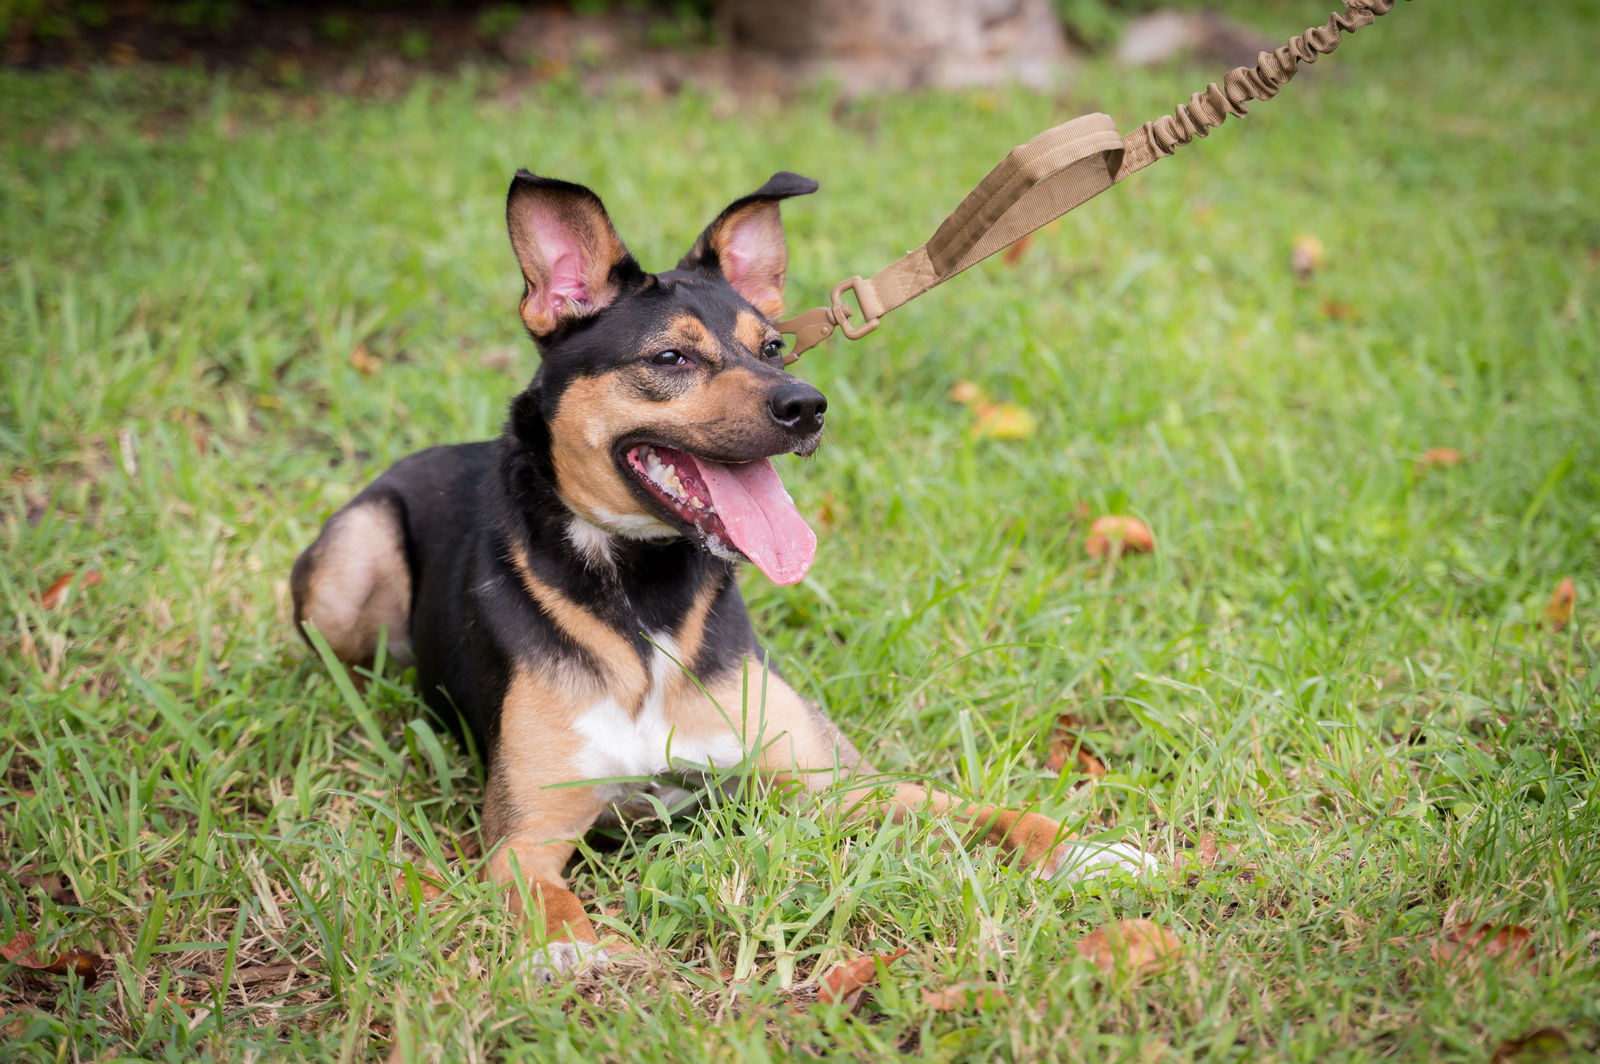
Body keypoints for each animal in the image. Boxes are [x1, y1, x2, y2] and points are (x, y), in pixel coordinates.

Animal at [291, 170, 1152, 972]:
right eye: (670, 357)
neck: (644, 594)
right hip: (349, 562)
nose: (806, 405)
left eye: (772, 348)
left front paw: (1084, 848)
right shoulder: (526, 835)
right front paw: (571, 951)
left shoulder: (837, 783)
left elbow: (981, 810)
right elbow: (547, 899)